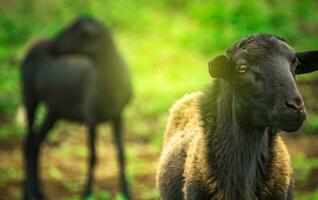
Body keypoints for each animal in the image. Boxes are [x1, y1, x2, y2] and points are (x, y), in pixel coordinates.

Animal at [21, 17, 132, 200]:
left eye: (79, 33)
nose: (53, 46)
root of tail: (35, 44)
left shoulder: (118, 115)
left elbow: (121, 155)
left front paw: (127, 192)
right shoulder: (91, 116)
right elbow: (93, 157)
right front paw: (87, 193)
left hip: (54, 110)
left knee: (36, 143)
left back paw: (39, 193)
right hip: (29, 95)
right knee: (28, 142)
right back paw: (27, 193)